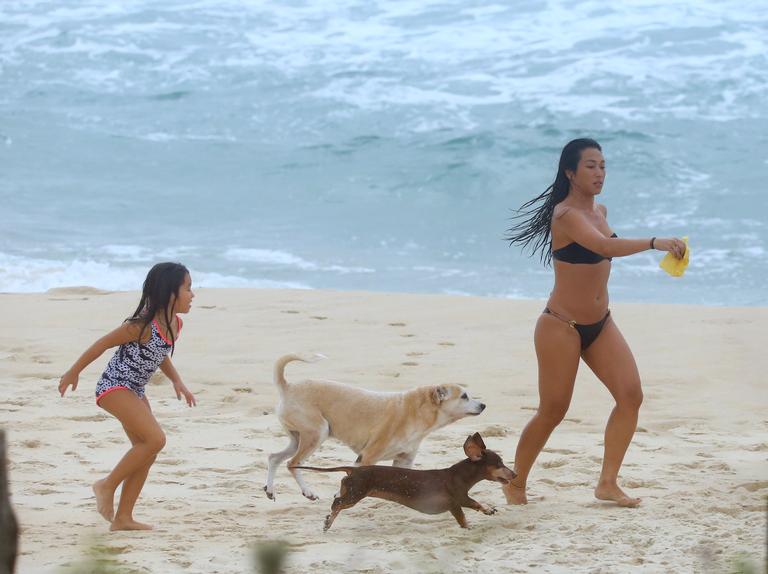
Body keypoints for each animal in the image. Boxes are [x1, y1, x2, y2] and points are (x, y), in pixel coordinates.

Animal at [294, 434, 516, 528]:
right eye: (499, 463)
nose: (514, 474)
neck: (457, 475)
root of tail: (354, 469)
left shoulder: (456, 504)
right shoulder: (458, 500)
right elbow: (471, 508)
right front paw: (483, 513)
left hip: (350, 490)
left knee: (337, 499)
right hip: (355, 495)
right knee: (336, 504)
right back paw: (328, 522)